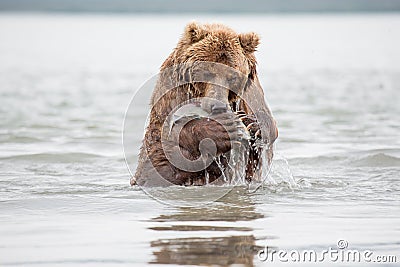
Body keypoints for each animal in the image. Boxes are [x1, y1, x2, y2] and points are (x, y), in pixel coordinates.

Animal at [131, 22, 278, 187]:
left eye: (232, 77)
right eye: (207, 72)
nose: (217, 105)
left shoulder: (249, 98)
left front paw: (254, 125)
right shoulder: (168, 103)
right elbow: (156, 163)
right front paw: (222, 128)